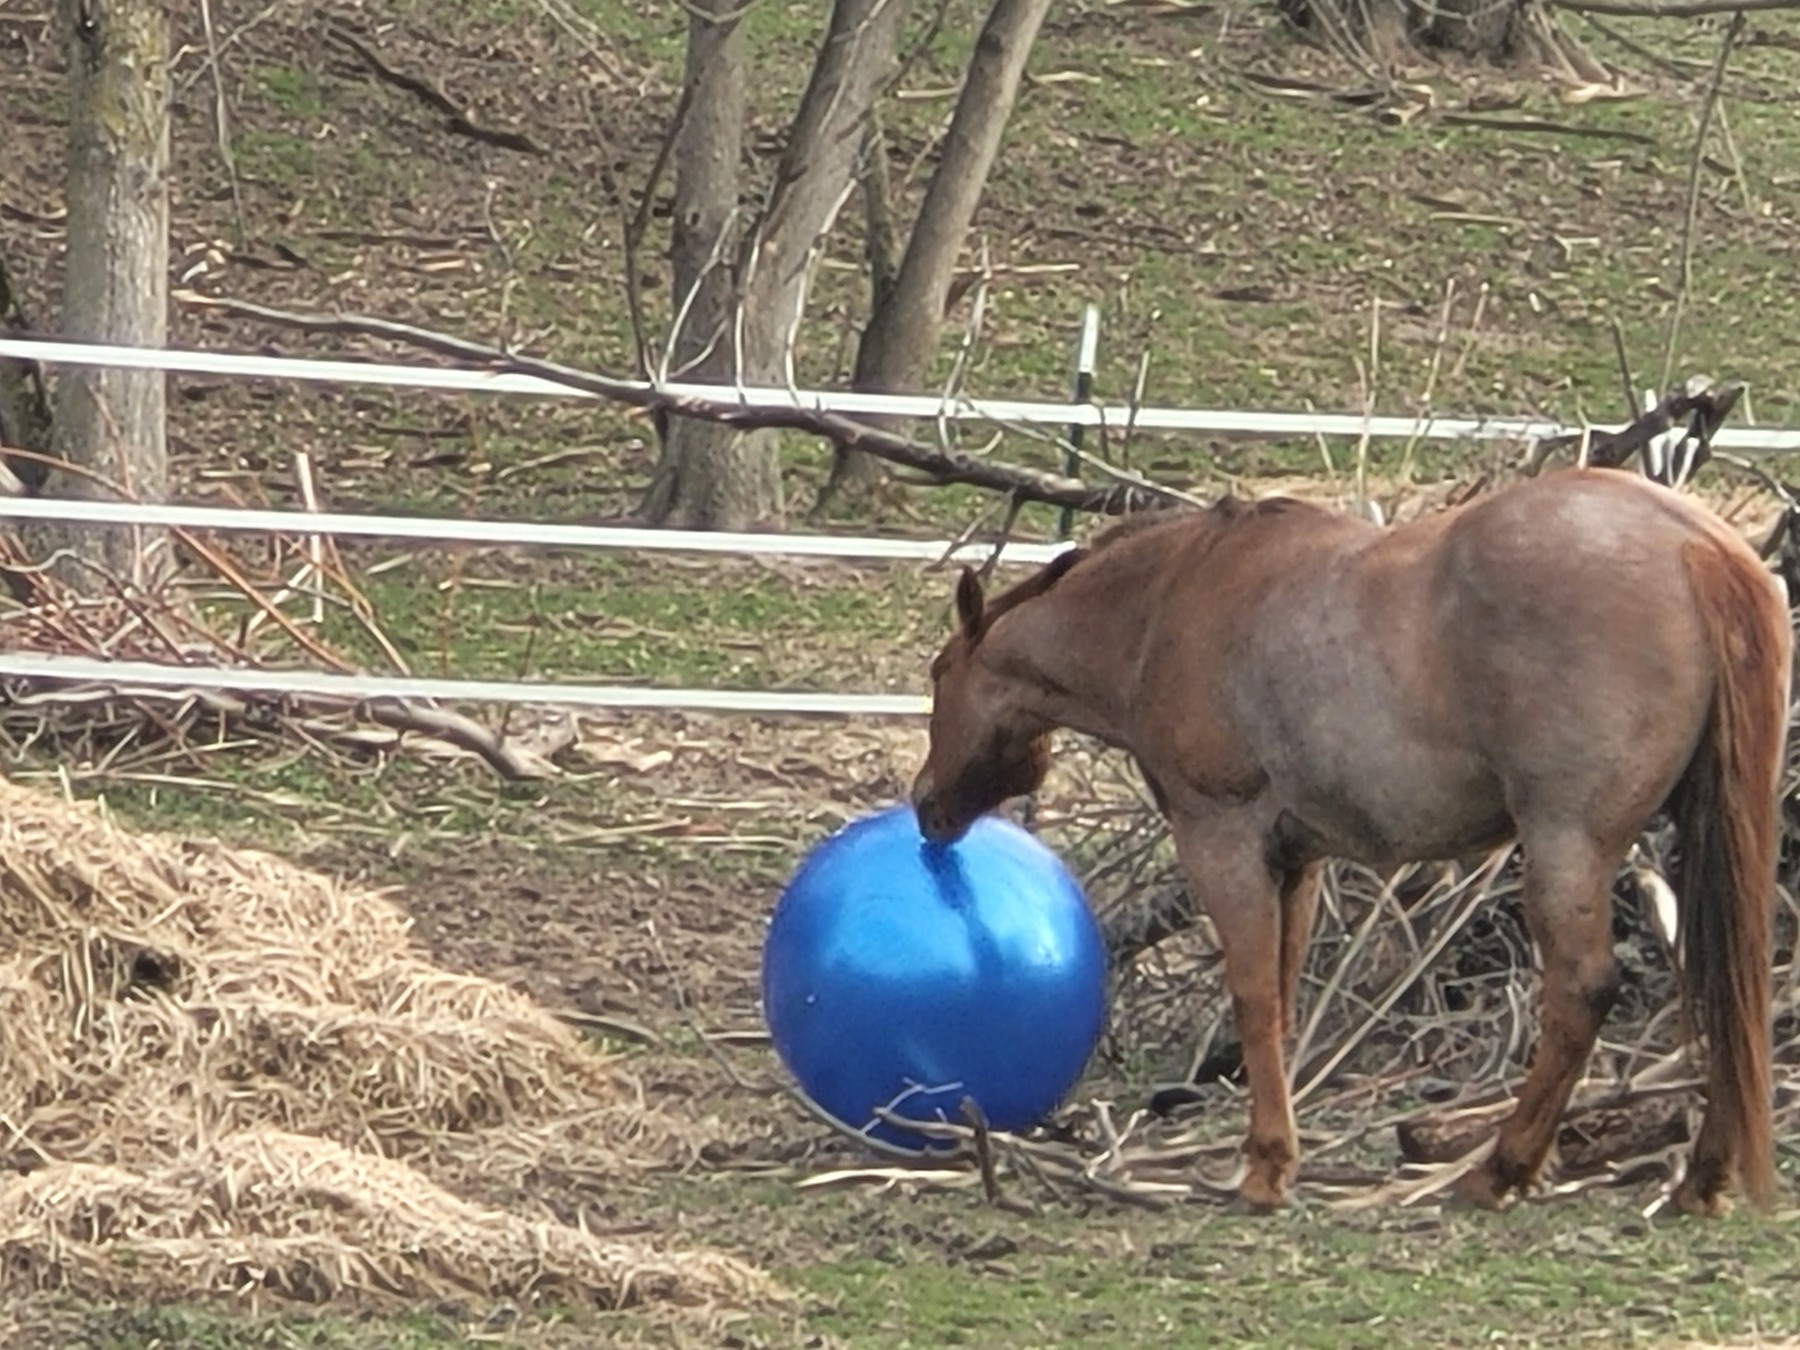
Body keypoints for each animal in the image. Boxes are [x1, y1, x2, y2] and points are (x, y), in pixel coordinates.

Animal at [911, 467, 1791, 1216]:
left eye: (936, 673)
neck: (1172, 602)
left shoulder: (1221, 841)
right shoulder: (1296, 861)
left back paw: (1501, 1169)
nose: (926, 806)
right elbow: (1283, 999)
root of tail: (1698, 545)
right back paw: (1702, 1175)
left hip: (1565, 846)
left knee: (1582, 991)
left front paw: (1265, 1169)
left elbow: (1254, 997)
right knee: (1727, 976)